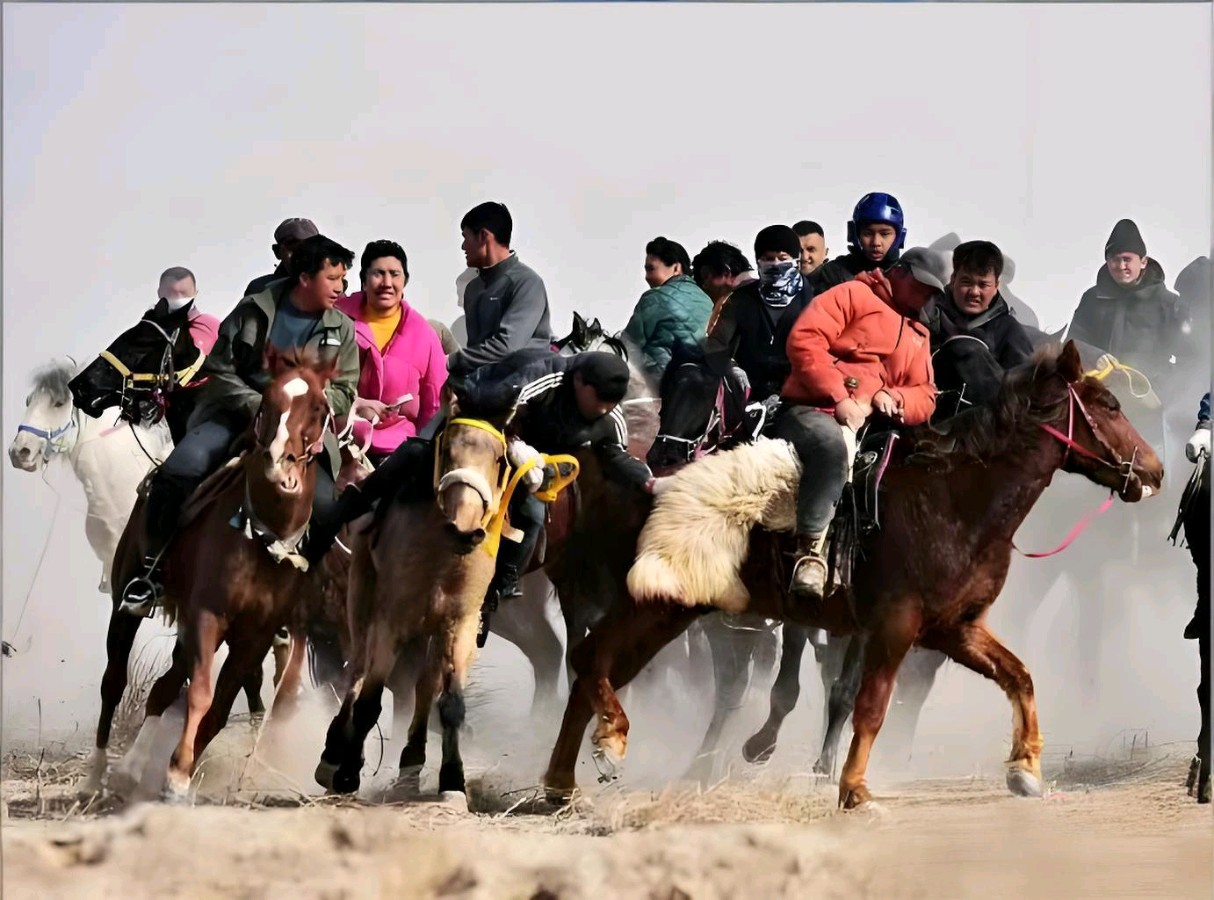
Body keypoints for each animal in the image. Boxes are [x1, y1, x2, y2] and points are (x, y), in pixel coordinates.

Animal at [89, 349, 337, 801]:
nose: (281, 469)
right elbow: (202, 696)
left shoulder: (255, 635)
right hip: (126, 598)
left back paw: (131, 768)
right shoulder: (208, 615)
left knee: (164, 687)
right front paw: (175, 776)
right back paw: (96, 775)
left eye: (319, 408)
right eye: (266, 403)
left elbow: (219, 708)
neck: (261, 537)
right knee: (114, 680)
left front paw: (180, 774)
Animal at [314, 407, 515, 803]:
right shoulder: (391, 620)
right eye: (448, 447)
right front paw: (346, 772)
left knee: (422, 686)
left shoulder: (460, 624)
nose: (465, 528)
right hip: (362, 598)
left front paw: (453, 780)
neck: (442, 556)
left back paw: (410, 766)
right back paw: (333, 754)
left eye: (499, 458)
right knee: (358, 669)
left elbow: (450, 704)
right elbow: (369, 701)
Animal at [543, 341, 1163, 809]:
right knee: (592, 659)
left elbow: (1019, 677)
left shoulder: (955, 628)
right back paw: (607, 745)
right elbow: (871, 705)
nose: (1155, 471)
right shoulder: (894, 625)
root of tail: (643, 477)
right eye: (1109, 405)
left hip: (670, 609)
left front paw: (1026, 768)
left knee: (595, 667)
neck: (953, 498)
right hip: (652, 603)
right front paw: (854, 789)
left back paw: (562, 784)